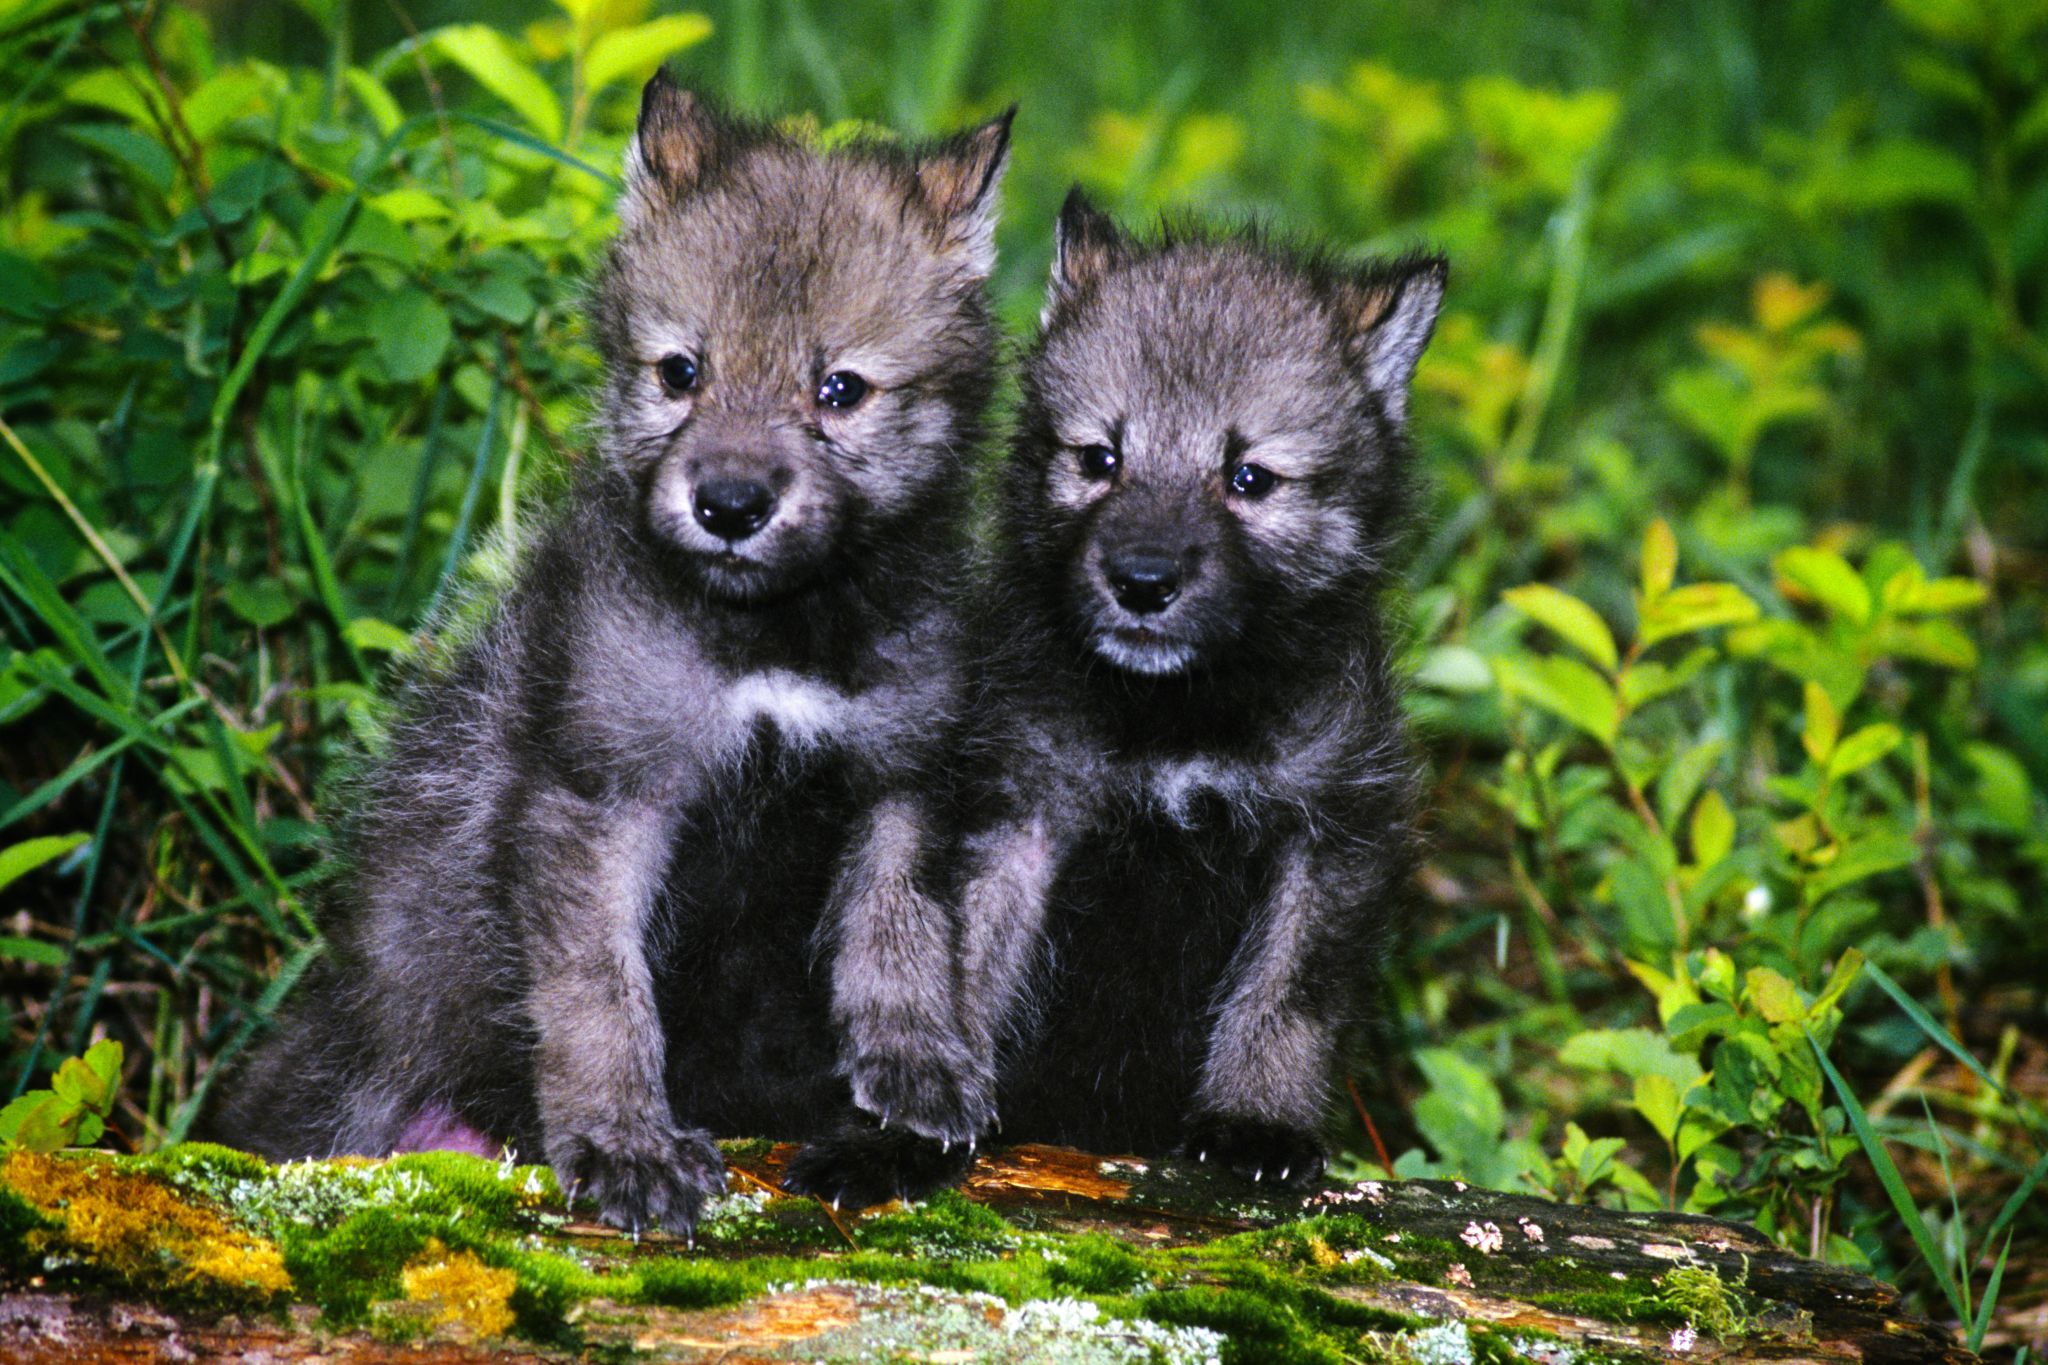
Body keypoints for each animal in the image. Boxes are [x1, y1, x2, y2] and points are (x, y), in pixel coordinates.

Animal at [205, 74, 1012, 1235]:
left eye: (840, 390)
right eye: (681, 372)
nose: (729, 504)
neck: (771, 640)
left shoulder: (895, 779)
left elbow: (895, 930)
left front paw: (914, 1071)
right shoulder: (601, 796)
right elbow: (600, 993)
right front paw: (625, 1142)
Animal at [787, 190, 1443, 1204]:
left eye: (1249, 477)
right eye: (1100, 458)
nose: (1142, 580)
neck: (1174, 719)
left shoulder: (1332, 831)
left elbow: (1285, 990)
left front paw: (1257, 1121)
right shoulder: (1018, 818)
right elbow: (956, 978)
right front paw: (901, 1135)